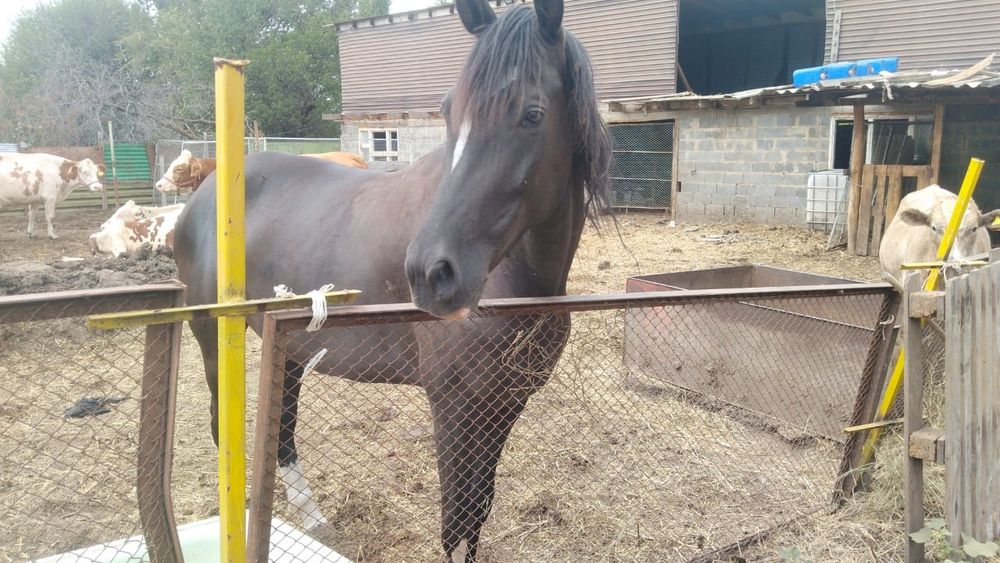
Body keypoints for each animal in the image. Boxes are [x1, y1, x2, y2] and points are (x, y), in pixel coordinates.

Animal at [173, 0, 610, 560]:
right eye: (448, 112)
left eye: (532, 114)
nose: (429, 273)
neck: (514, 283)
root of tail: (203, 194)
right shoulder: (453, 404)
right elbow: (456, 519)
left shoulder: (505, 403)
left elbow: (479, 510)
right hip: (213, 339)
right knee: (222, 427)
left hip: (287, 346)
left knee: (284, 431)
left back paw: (312, 518)